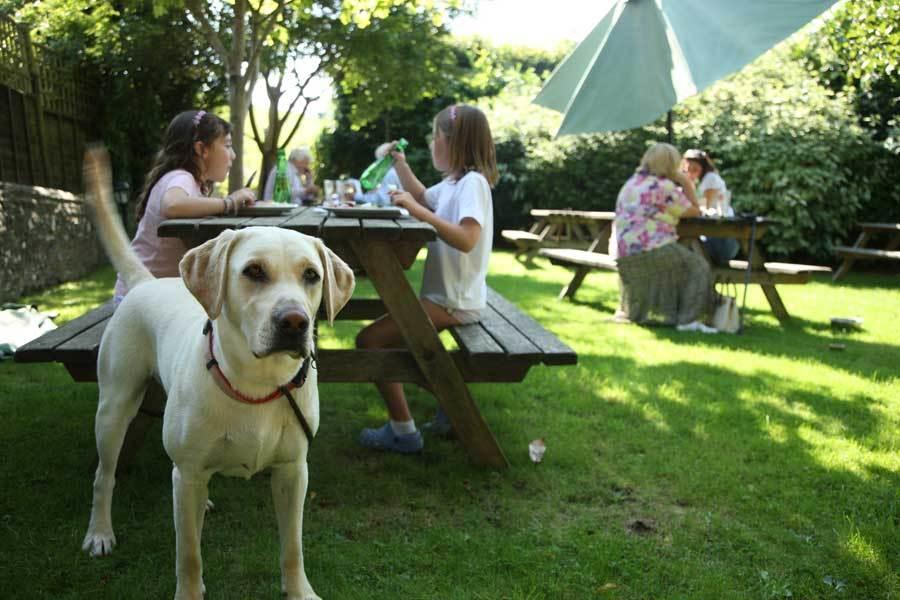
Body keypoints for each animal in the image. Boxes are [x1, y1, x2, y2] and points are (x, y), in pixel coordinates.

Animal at [81, 146, 354, 600]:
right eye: (253, 271)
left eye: (312, 275)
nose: (295, 322)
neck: (257, 382)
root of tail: (146, 282)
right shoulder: (188, 474)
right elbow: (189, 554)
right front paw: (189, 592)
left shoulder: (293, 471)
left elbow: (293, 546)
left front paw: (300, 590)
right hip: (113, 408)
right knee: (105, 475)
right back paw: (99, 531)